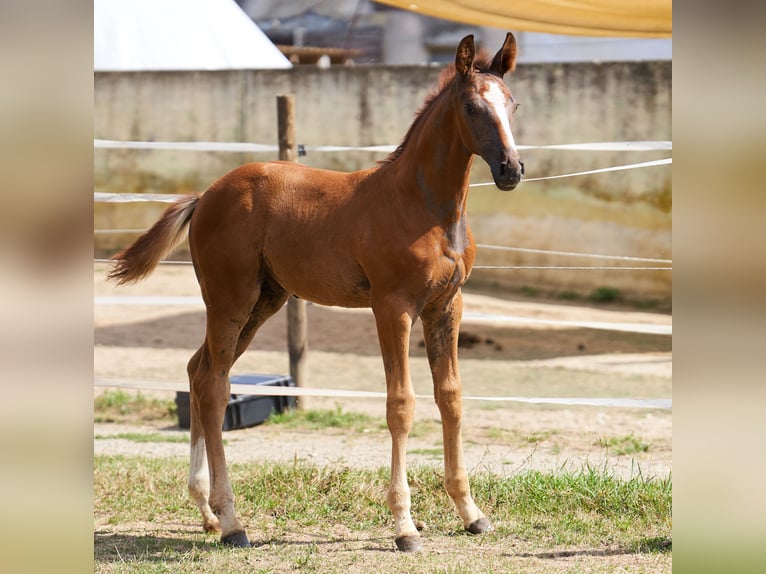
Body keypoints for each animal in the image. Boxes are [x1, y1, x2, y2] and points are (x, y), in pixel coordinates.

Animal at [107, 33, 524, 553]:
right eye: (471, 107)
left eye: (513, 104)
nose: (511, 169)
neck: (422, 205)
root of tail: (204, 197)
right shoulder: (392, 308)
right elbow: (401, 405)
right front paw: (404, 525)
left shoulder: (446, 306)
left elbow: (450, 398)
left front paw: (471, 513)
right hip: (230, 299)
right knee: (215, 388)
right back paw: (233, 521)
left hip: (264, 302)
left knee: (198, 372)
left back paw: (207, 513)